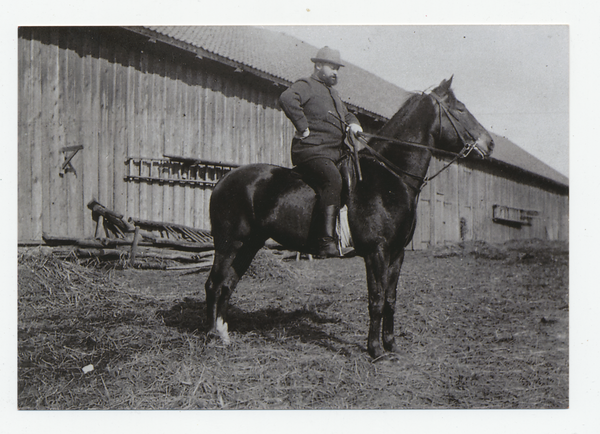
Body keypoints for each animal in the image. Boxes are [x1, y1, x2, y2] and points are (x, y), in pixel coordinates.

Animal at [204, 78, 494, 360]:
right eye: (460, 109)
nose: (489, 144)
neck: (391, 177)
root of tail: (224, 181)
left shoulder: (397, 253)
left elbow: (391, 298)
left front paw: (391, 344)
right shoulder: (377, 252)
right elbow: (376, 299)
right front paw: (375, 350)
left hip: (250, 244)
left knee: (228, 284)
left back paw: (224, 335)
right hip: (229, 243)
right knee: (214, 284)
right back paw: (210, 336)